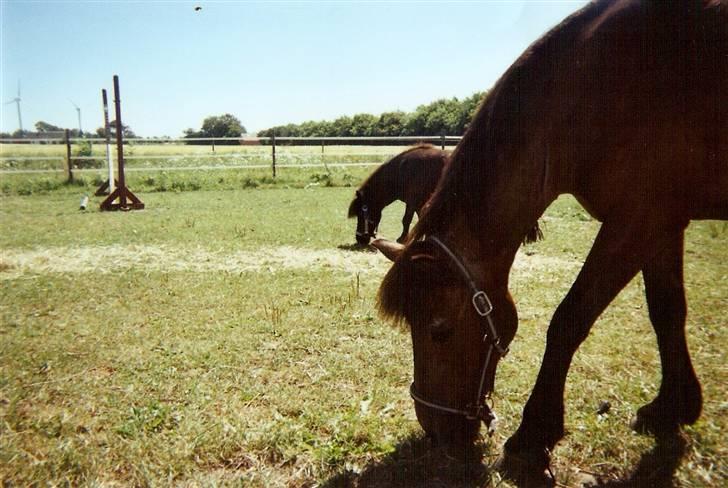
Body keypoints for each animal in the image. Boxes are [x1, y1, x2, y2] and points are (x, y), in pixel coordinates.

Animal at [372, 0, 724, 484]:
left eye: (439, 330)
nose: (436, 430)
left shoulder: (635, 221)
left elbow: (569, 320)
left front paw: (532, 436)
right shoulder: (662, 223)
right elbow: (666, 311)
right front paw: (672, 406)